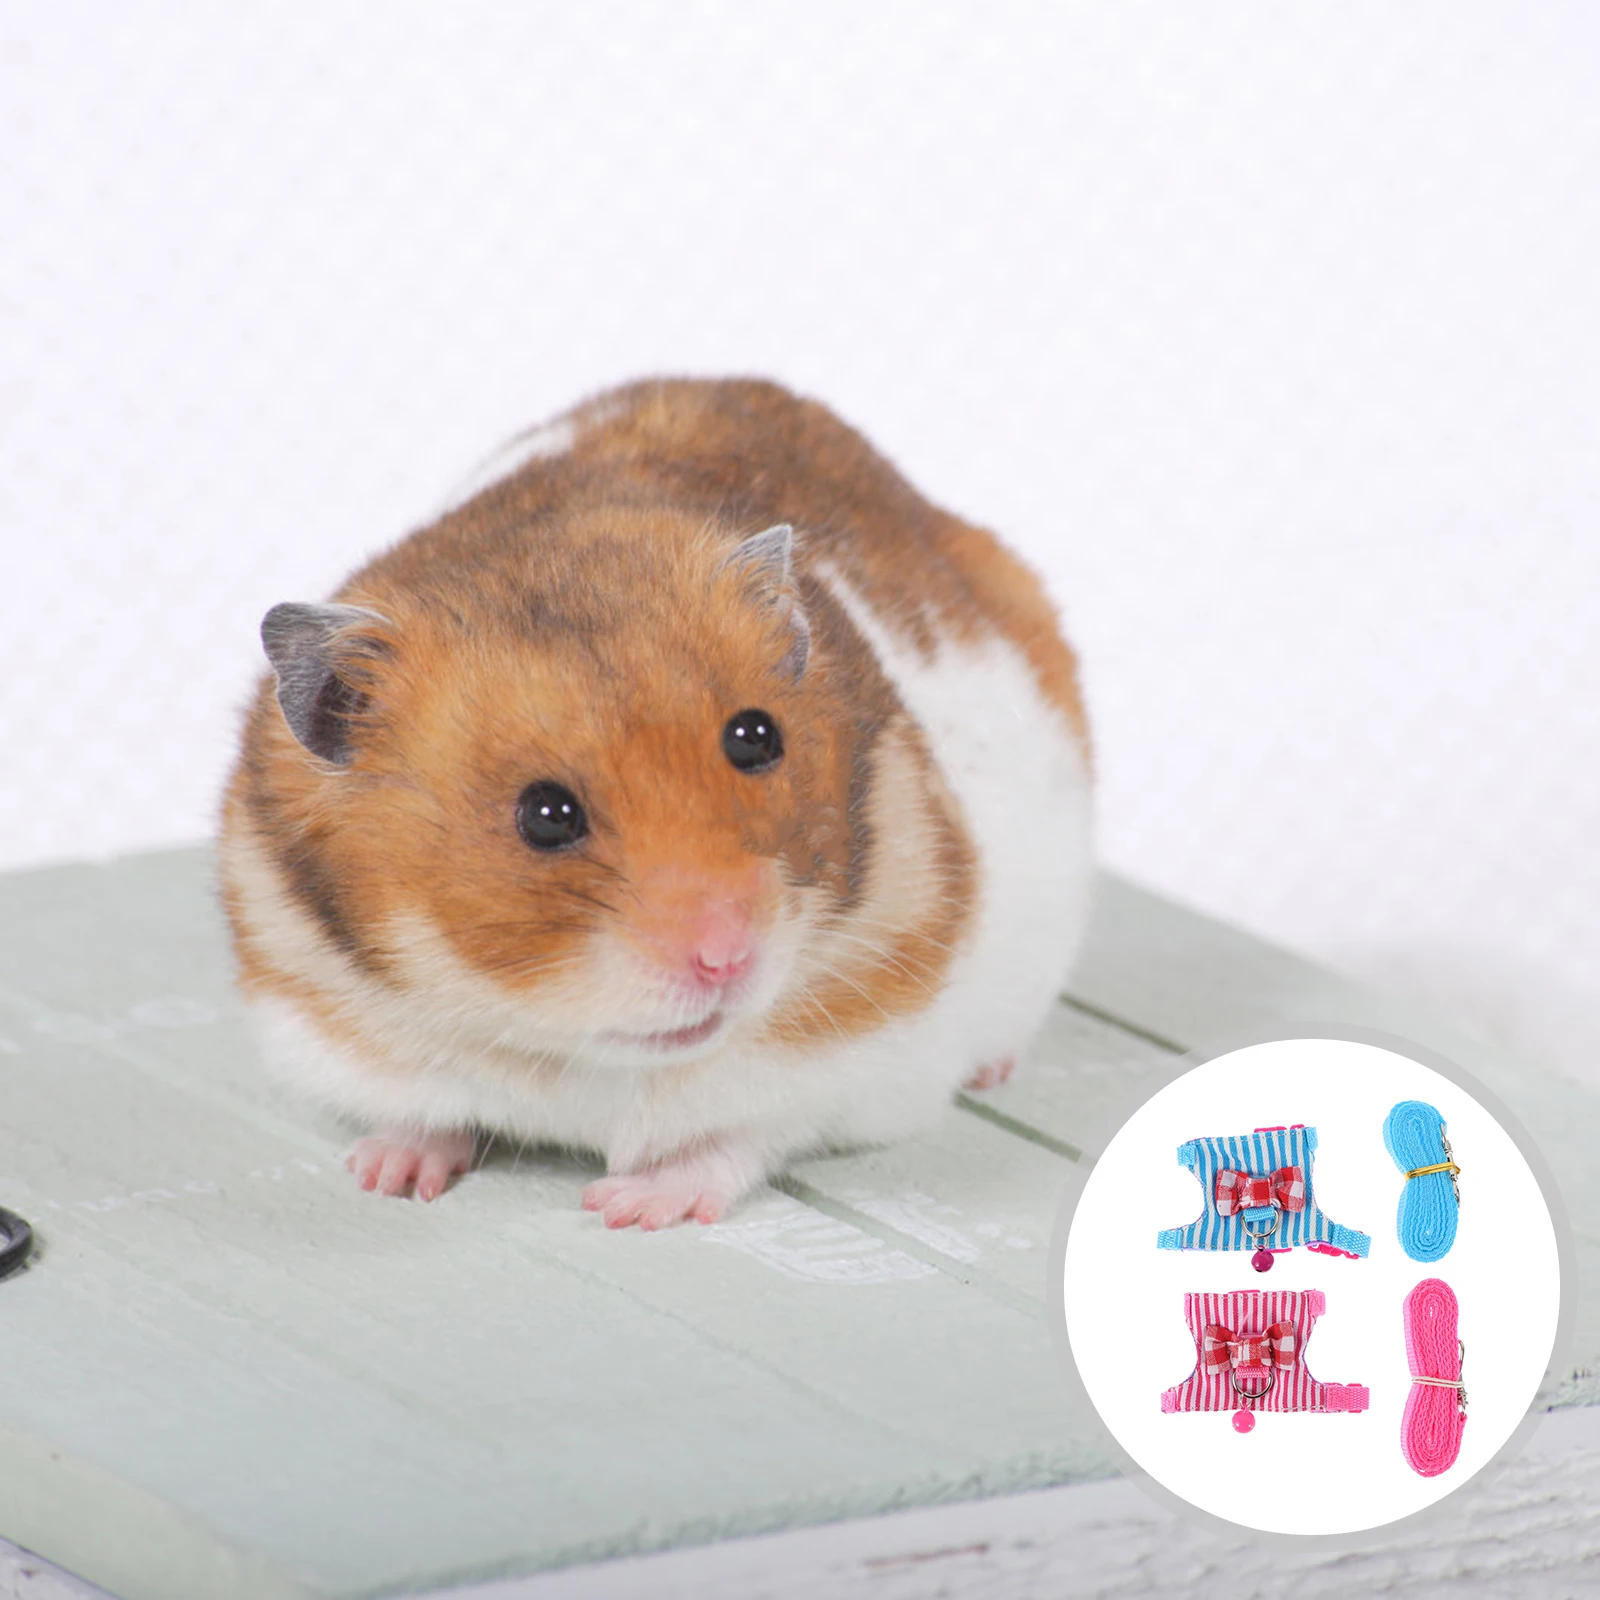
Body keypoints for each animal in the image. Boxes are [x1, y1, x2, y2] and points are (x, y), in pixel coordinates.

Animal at [219, 378, 1093, 1229]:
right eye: (544, 816)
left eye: (756, 737)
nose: (728, 958)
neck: (575, 1041)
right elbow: (423, 1115)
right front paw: (384, 1177)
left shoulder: (858, 1057)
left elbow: (737, 1142)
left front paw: (623, 1208)